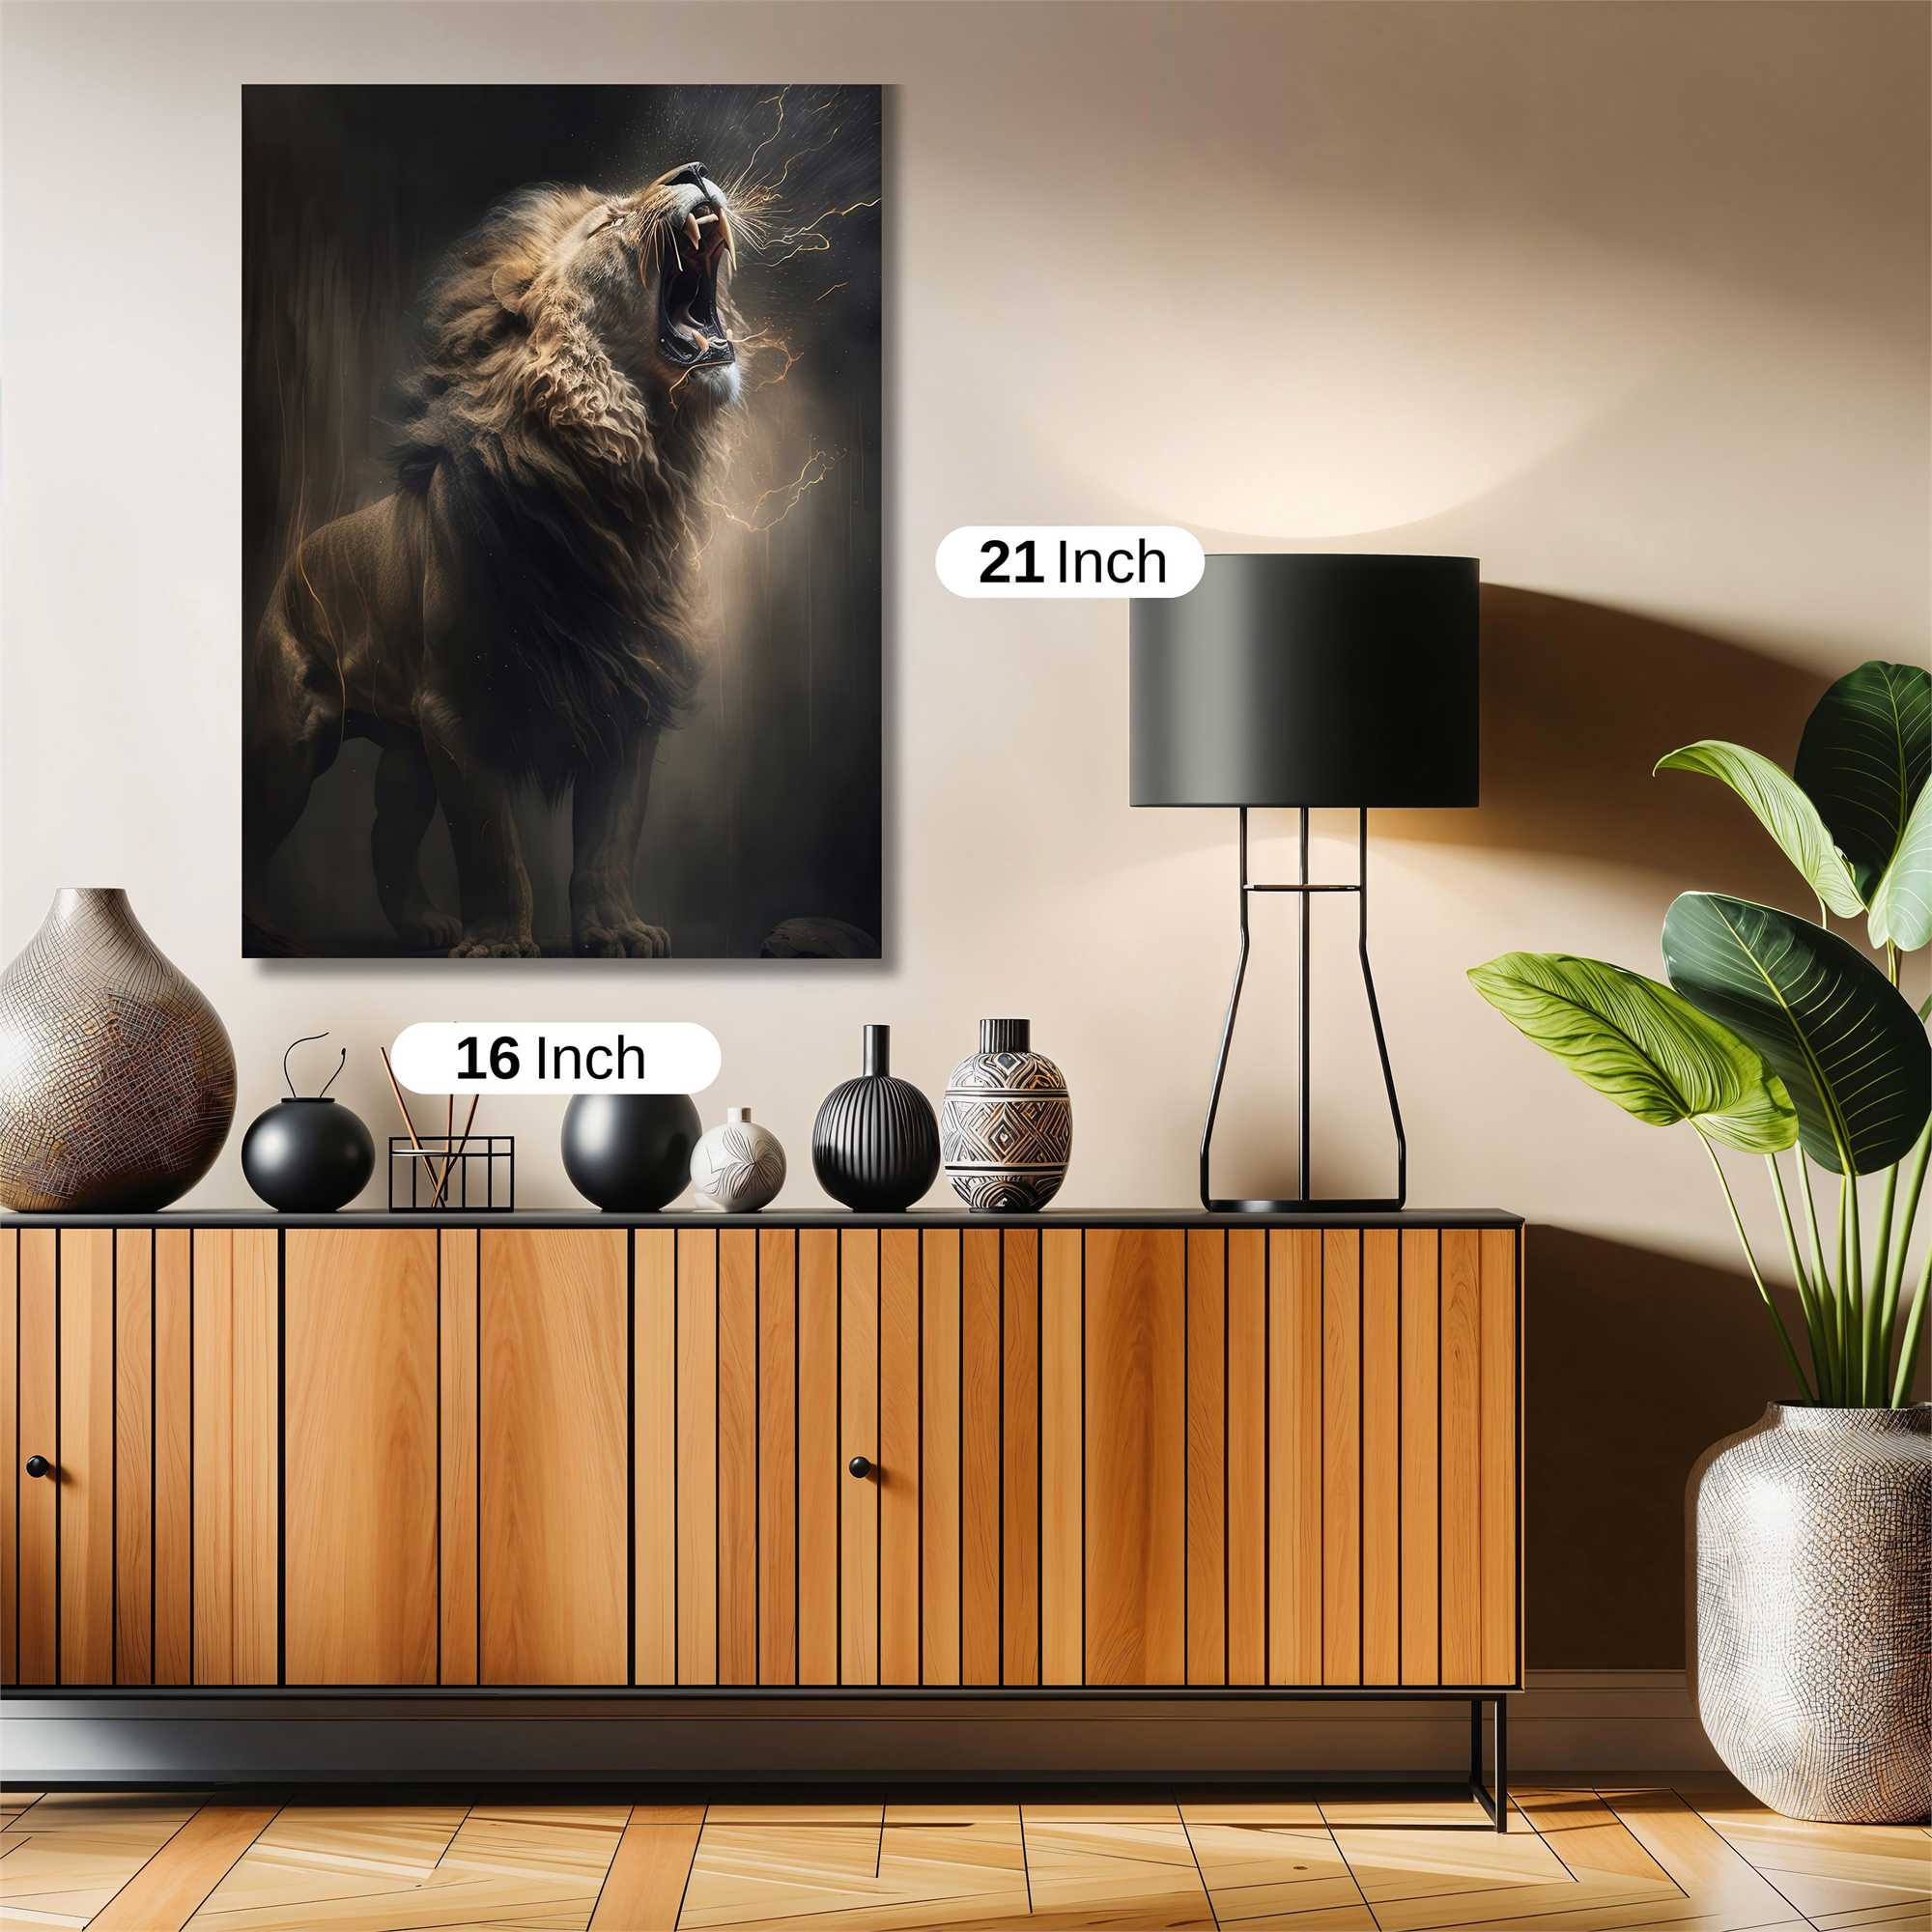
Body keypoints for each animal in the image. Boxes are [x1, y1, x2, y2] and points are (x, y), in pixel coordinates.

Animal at [245, 161, 752, 957]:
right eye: (610, 221)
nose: (696, 170)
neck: (619, 472)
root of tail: (301, 551)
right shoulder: (457, 708)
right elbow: (489, 844)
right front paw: (500, 942)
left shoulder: (626, 692)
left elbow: (609, 840)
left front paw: (616, 930)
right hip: (291, 742)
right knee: (264, 823)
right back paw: (267, 925)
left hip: (407, 751)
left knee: (387, 836)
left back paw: (421, 925)